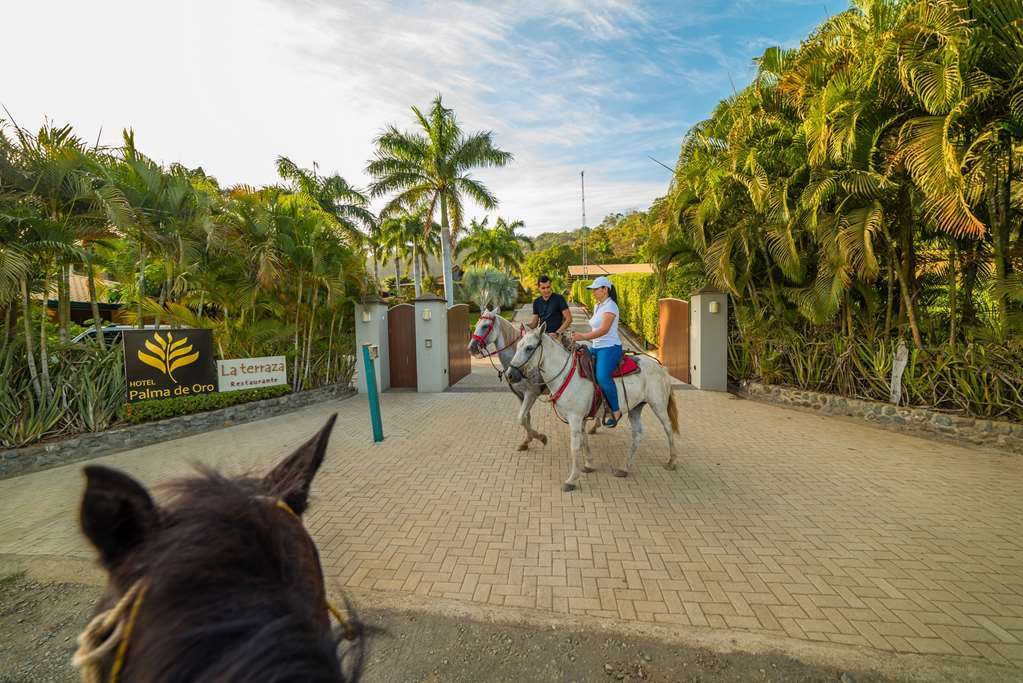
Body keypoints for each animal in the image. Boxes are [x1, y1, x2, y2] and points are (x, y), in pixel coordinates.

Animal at [505, 321, 679, 488]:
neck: (566, 374)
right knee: (637, 435)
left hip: (658, 405)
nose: (510, 375)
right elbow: (584, 440)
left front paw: (571, 479)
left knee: (668, 429)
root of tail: (661, 366)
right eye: (518, 345)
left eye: (529, 348)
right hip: (635, 408)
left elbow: (575, 446)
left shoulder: (575, 417)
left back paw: (671, 461)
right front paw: (589, 464)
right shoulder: (580, 418)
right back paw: (624, 468)